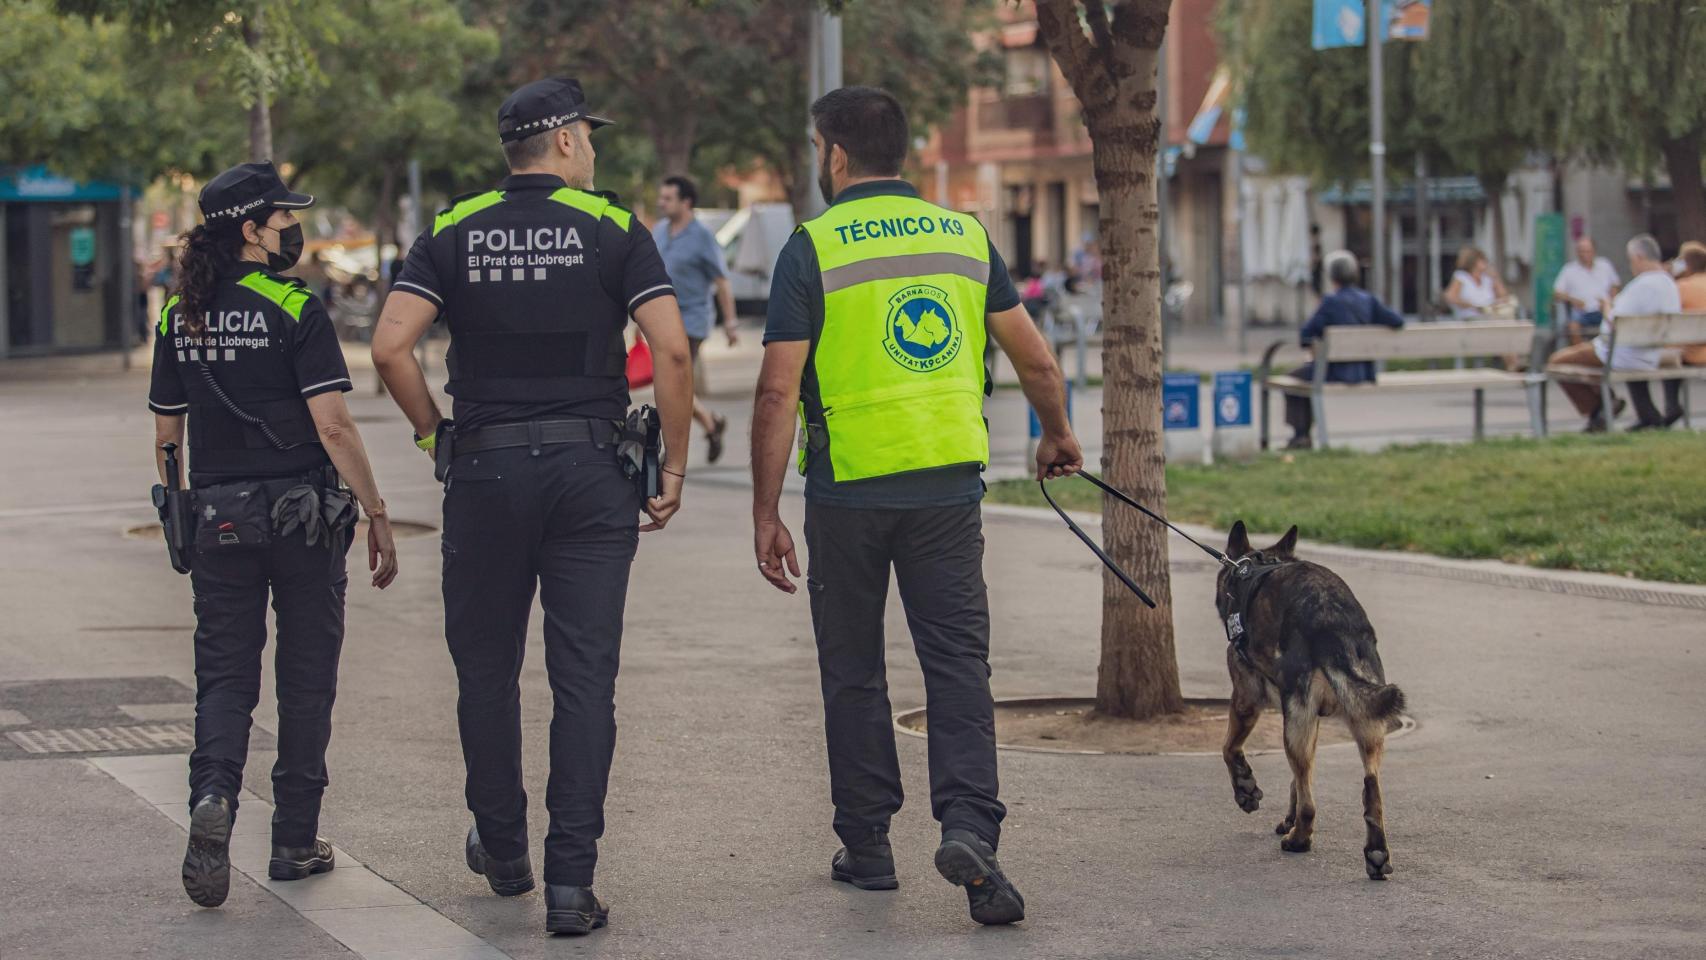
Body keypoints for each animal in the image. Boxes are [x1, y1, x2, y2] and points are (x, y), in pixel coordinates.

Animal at [1221, 521, 1405, 879]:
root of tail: (1333, 622)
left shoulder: (1247, 698)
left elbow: (1229, 747)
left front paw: (1245, 789)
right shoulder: (1310, 722)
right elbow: (1298, 780)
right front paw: (1286, 817)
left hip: (1295, 724)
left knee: (1311, 803)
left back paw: (1300, 839)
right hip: (1363, 722)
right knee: (1370, 786)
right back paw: (1375, 852)